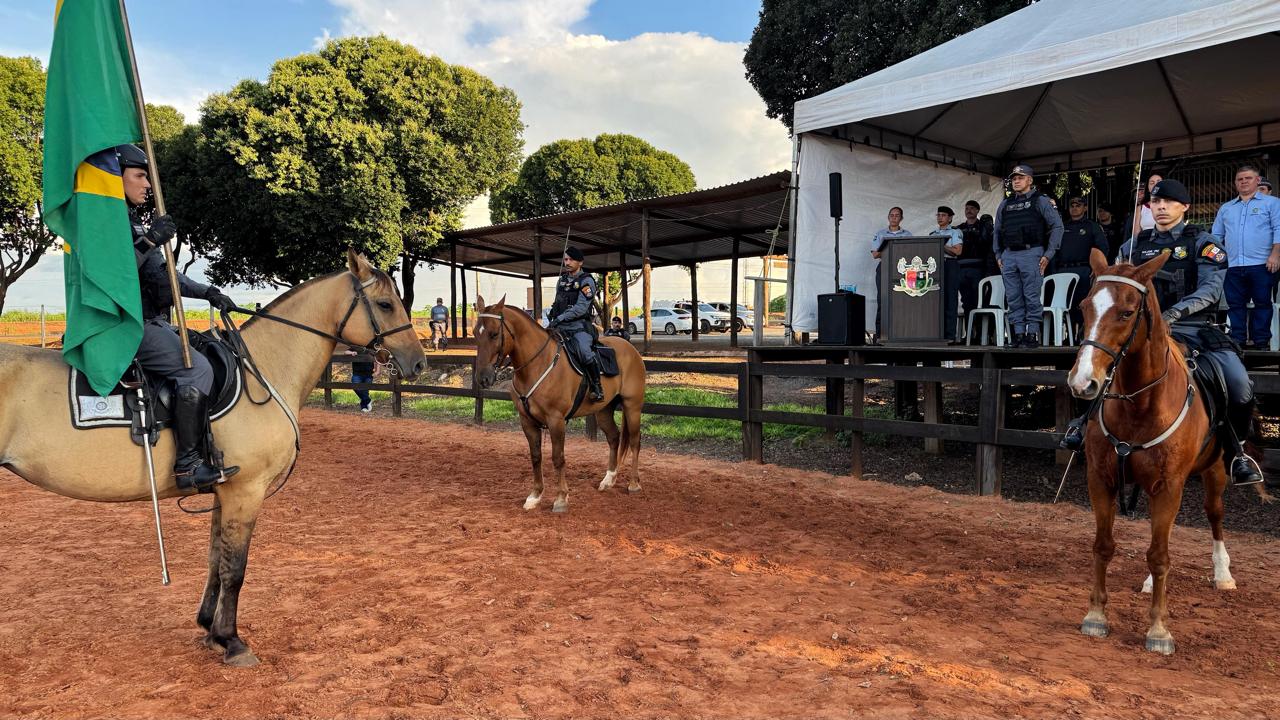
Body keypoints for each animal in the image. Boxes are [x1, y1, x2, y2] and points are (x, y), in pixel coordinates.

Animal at [0, 251, 430, 661]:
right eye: (386, 304)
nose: (419, 362)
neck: (261, 372)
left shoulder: (225, 492)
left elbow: (215, 562)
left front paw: (209, 627)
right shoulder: (246, 491)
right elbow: (235, 569)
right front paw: (231, 640)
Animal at [473, 294, 645, 512]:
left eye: (494, 334)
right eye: (475, 334)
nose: (483, 378)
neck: (537, 365)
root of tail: (630, 349)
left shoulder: (556, 420)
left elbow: (558, 457)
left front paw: (561, 498)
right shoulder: (527, 421)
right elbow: (536, 456)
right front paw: (535, 495)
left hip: (632, 406)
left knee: (634, 441)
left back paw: (634, 483)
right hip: (603, 410)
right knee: (614, 438)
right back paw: (608, 480)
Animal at [1064, 249, 1244, 653]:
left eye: (1127, 312)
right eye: (1084, 307)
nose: (1083, 382)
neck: (1140, 404)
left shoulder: (1170, 486)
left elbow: (1160, 556)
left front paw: (1158, 629)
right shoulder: (1101, 479)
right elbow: (1103, 545)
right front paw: (1096, 615)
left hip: (1215, 472)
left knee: (1214, 516)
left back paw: (1223, 573)